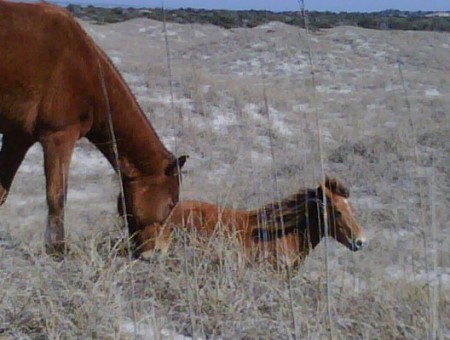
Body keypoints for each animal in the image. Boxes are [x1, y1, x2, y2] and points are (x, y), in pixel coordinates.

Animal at [0, 1, 186, 254]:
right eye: (171, 203)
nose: (161, 250)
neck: (84, 66)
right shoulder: (59, 137)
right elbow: (56, 196)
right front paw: (58, 249)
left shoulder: (17, 138)